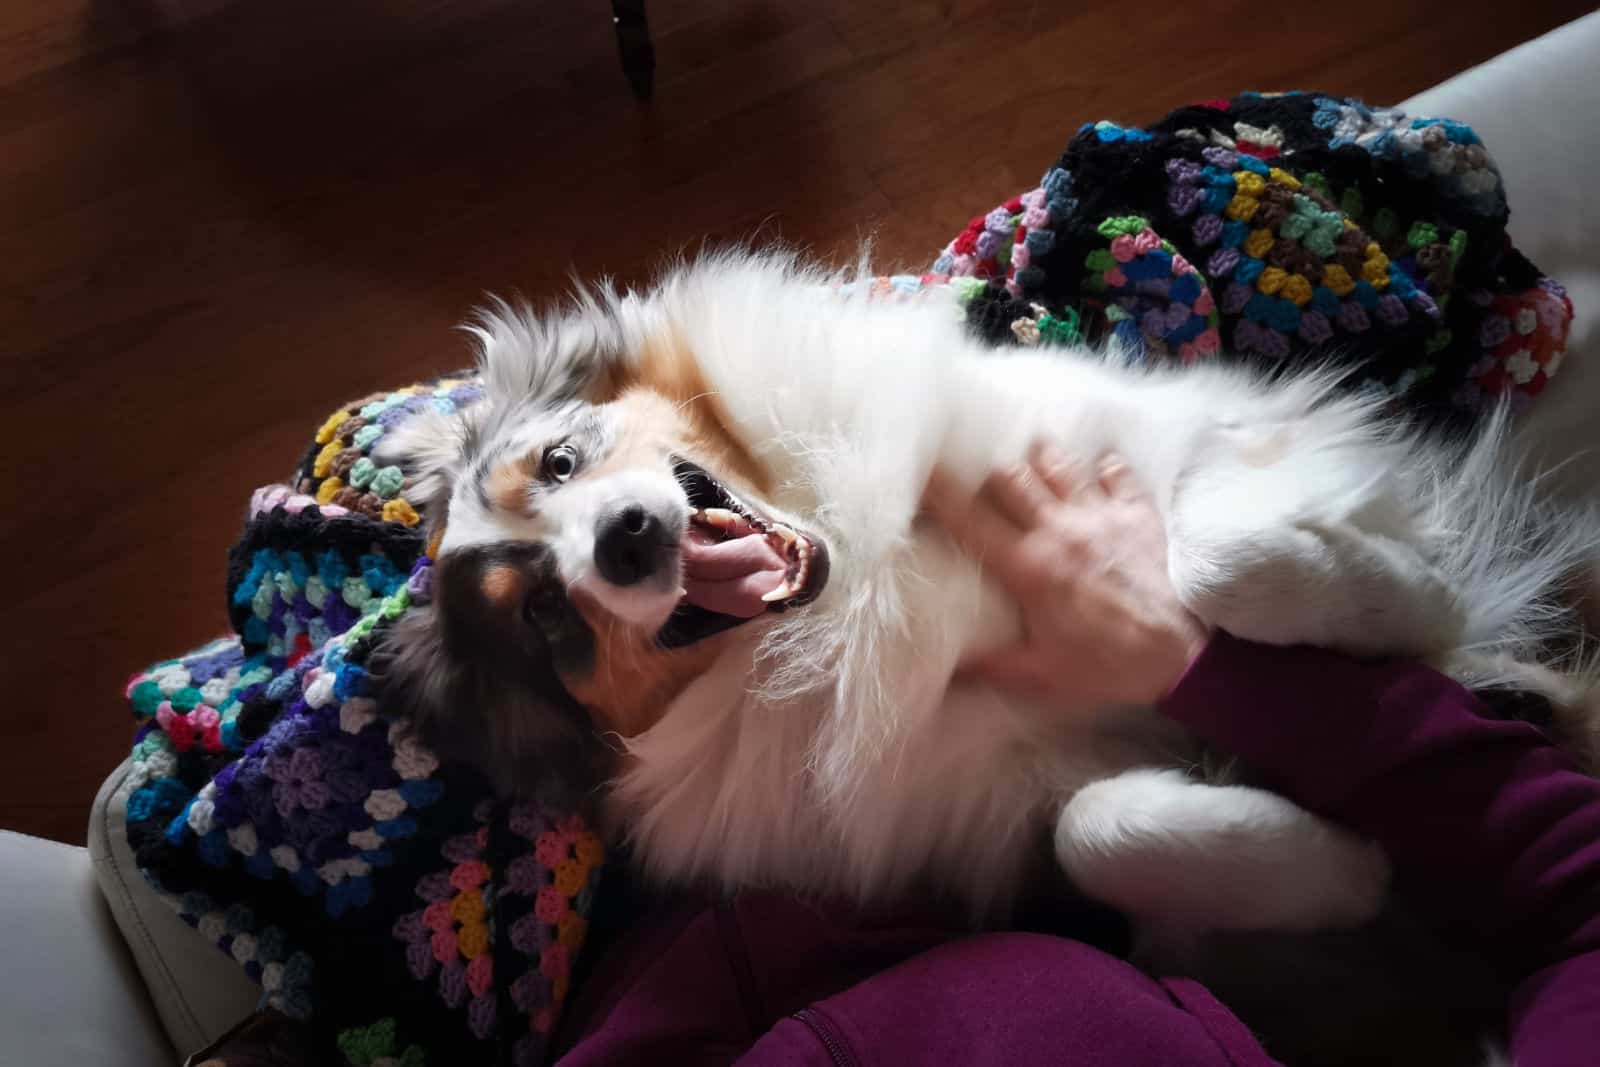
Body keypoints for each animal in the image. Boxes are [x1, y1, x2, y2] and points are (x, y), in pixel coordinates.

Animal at [371, 246, 1600, 947]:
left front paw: (1419, 605)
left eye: (560, 462)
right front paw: (1347, 866)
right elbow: (1102, 831)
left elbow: (1226, 559)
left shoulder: (1177, 437)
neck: (850, 585)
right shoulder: (1010, 798)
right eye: (542, 620)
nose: (624, 542)